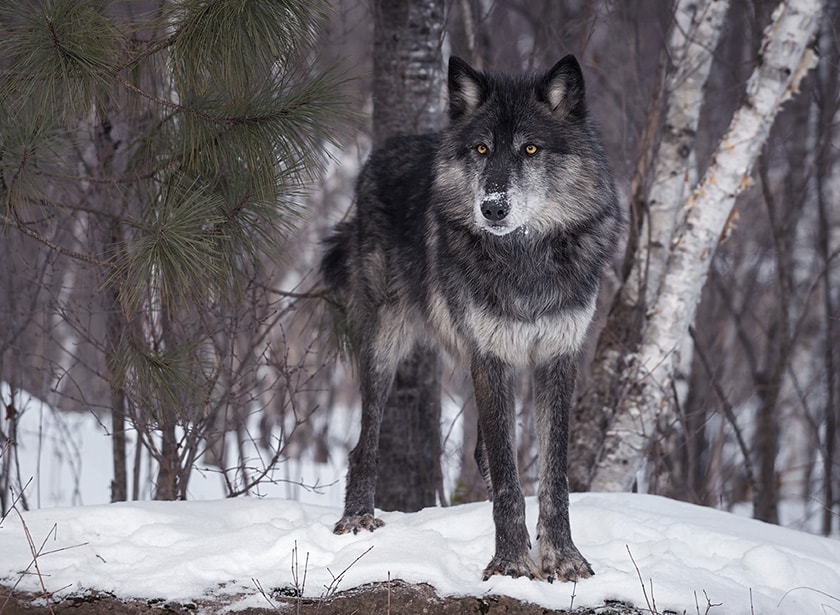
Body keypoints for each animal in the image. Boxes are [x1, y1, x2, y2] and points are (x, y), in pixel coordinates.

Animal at [322, 55, 624, 584]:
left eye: (530, 148)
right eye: (482, 149)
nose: (492, 208)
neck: (526, 258)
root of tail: (379, 154)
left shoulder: (557, 358)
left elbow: (554, 475)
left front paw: (561, 558)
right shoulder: (491, 357)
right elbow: (507, 475)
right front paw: (511, 564)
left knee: (482, 452)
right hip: (385, 340)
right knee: (365, 442)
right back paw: (356, 517)